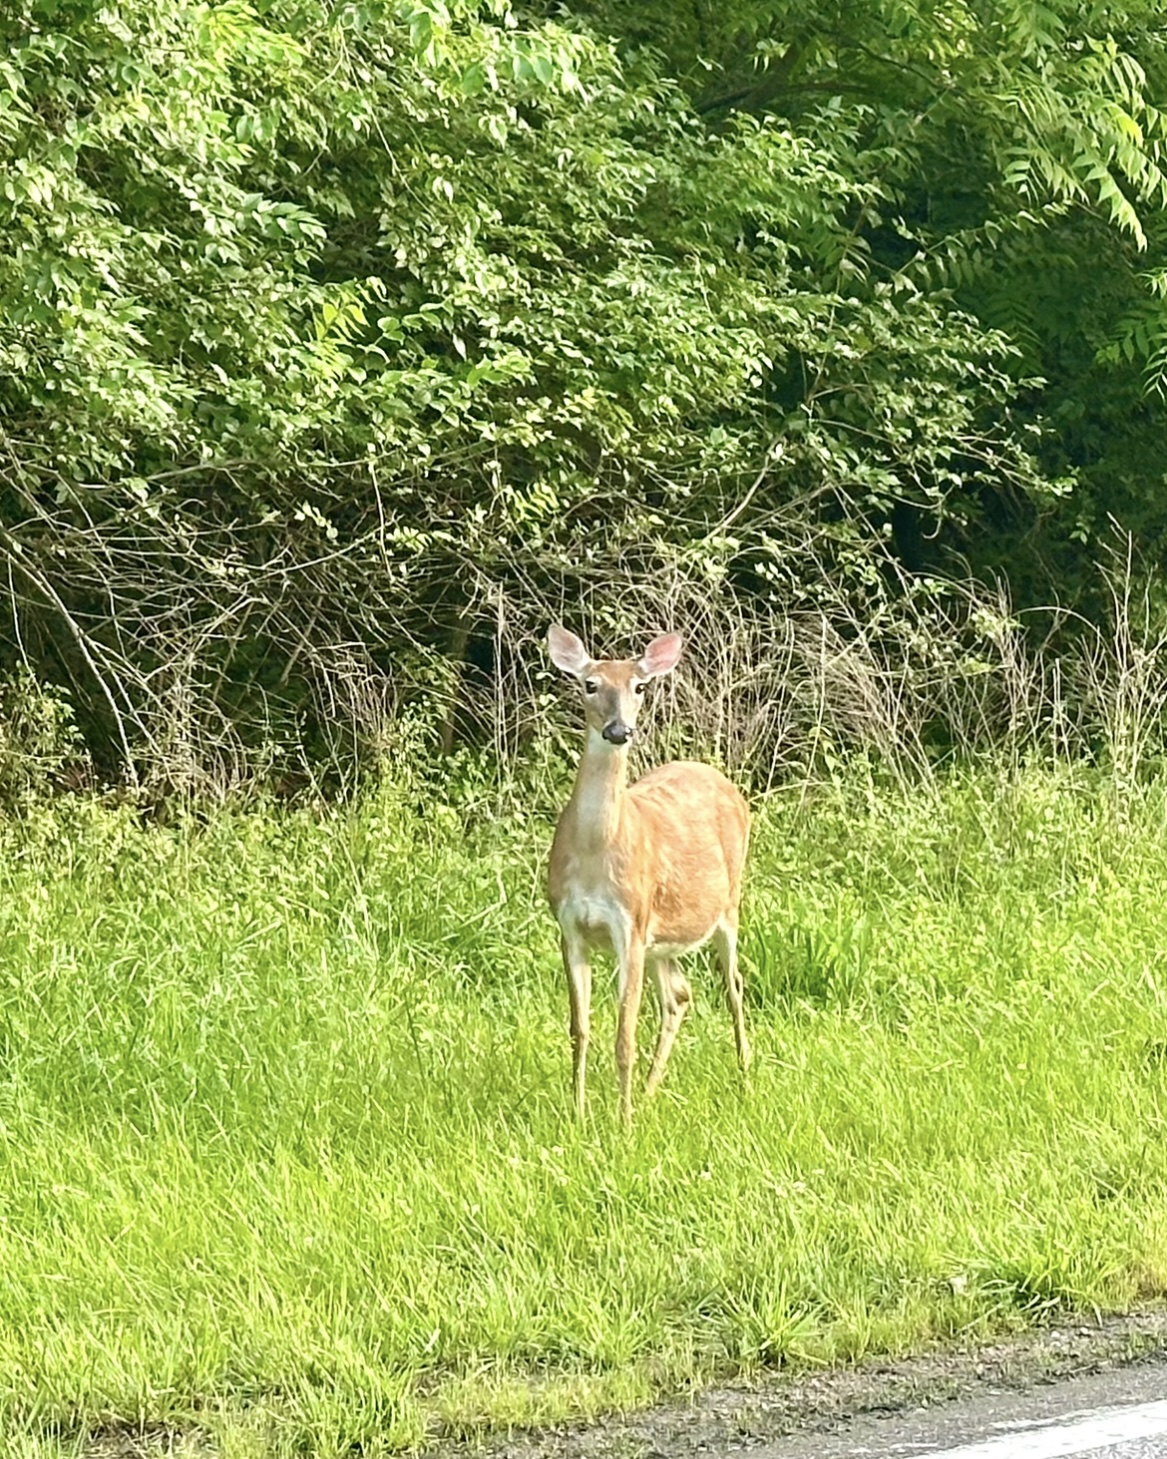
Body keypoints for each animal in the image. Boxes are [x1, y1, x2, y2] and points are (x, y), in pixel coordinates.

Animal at [546, 623, 751, 1124]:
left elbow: (624, 1036)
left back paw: (744, 1078)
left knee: (733, 985)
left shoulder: (631, 924)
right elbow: (579, 1029)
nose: (619, 730)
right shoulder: (568, 925)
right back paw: (649, 1093)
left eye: (639, 687)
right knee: (679, 994)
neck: (595, 854)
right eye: (590, 684)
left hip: (728, 905)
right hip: (664, 938)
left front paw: (622, 1123)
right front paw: (579, 1113)